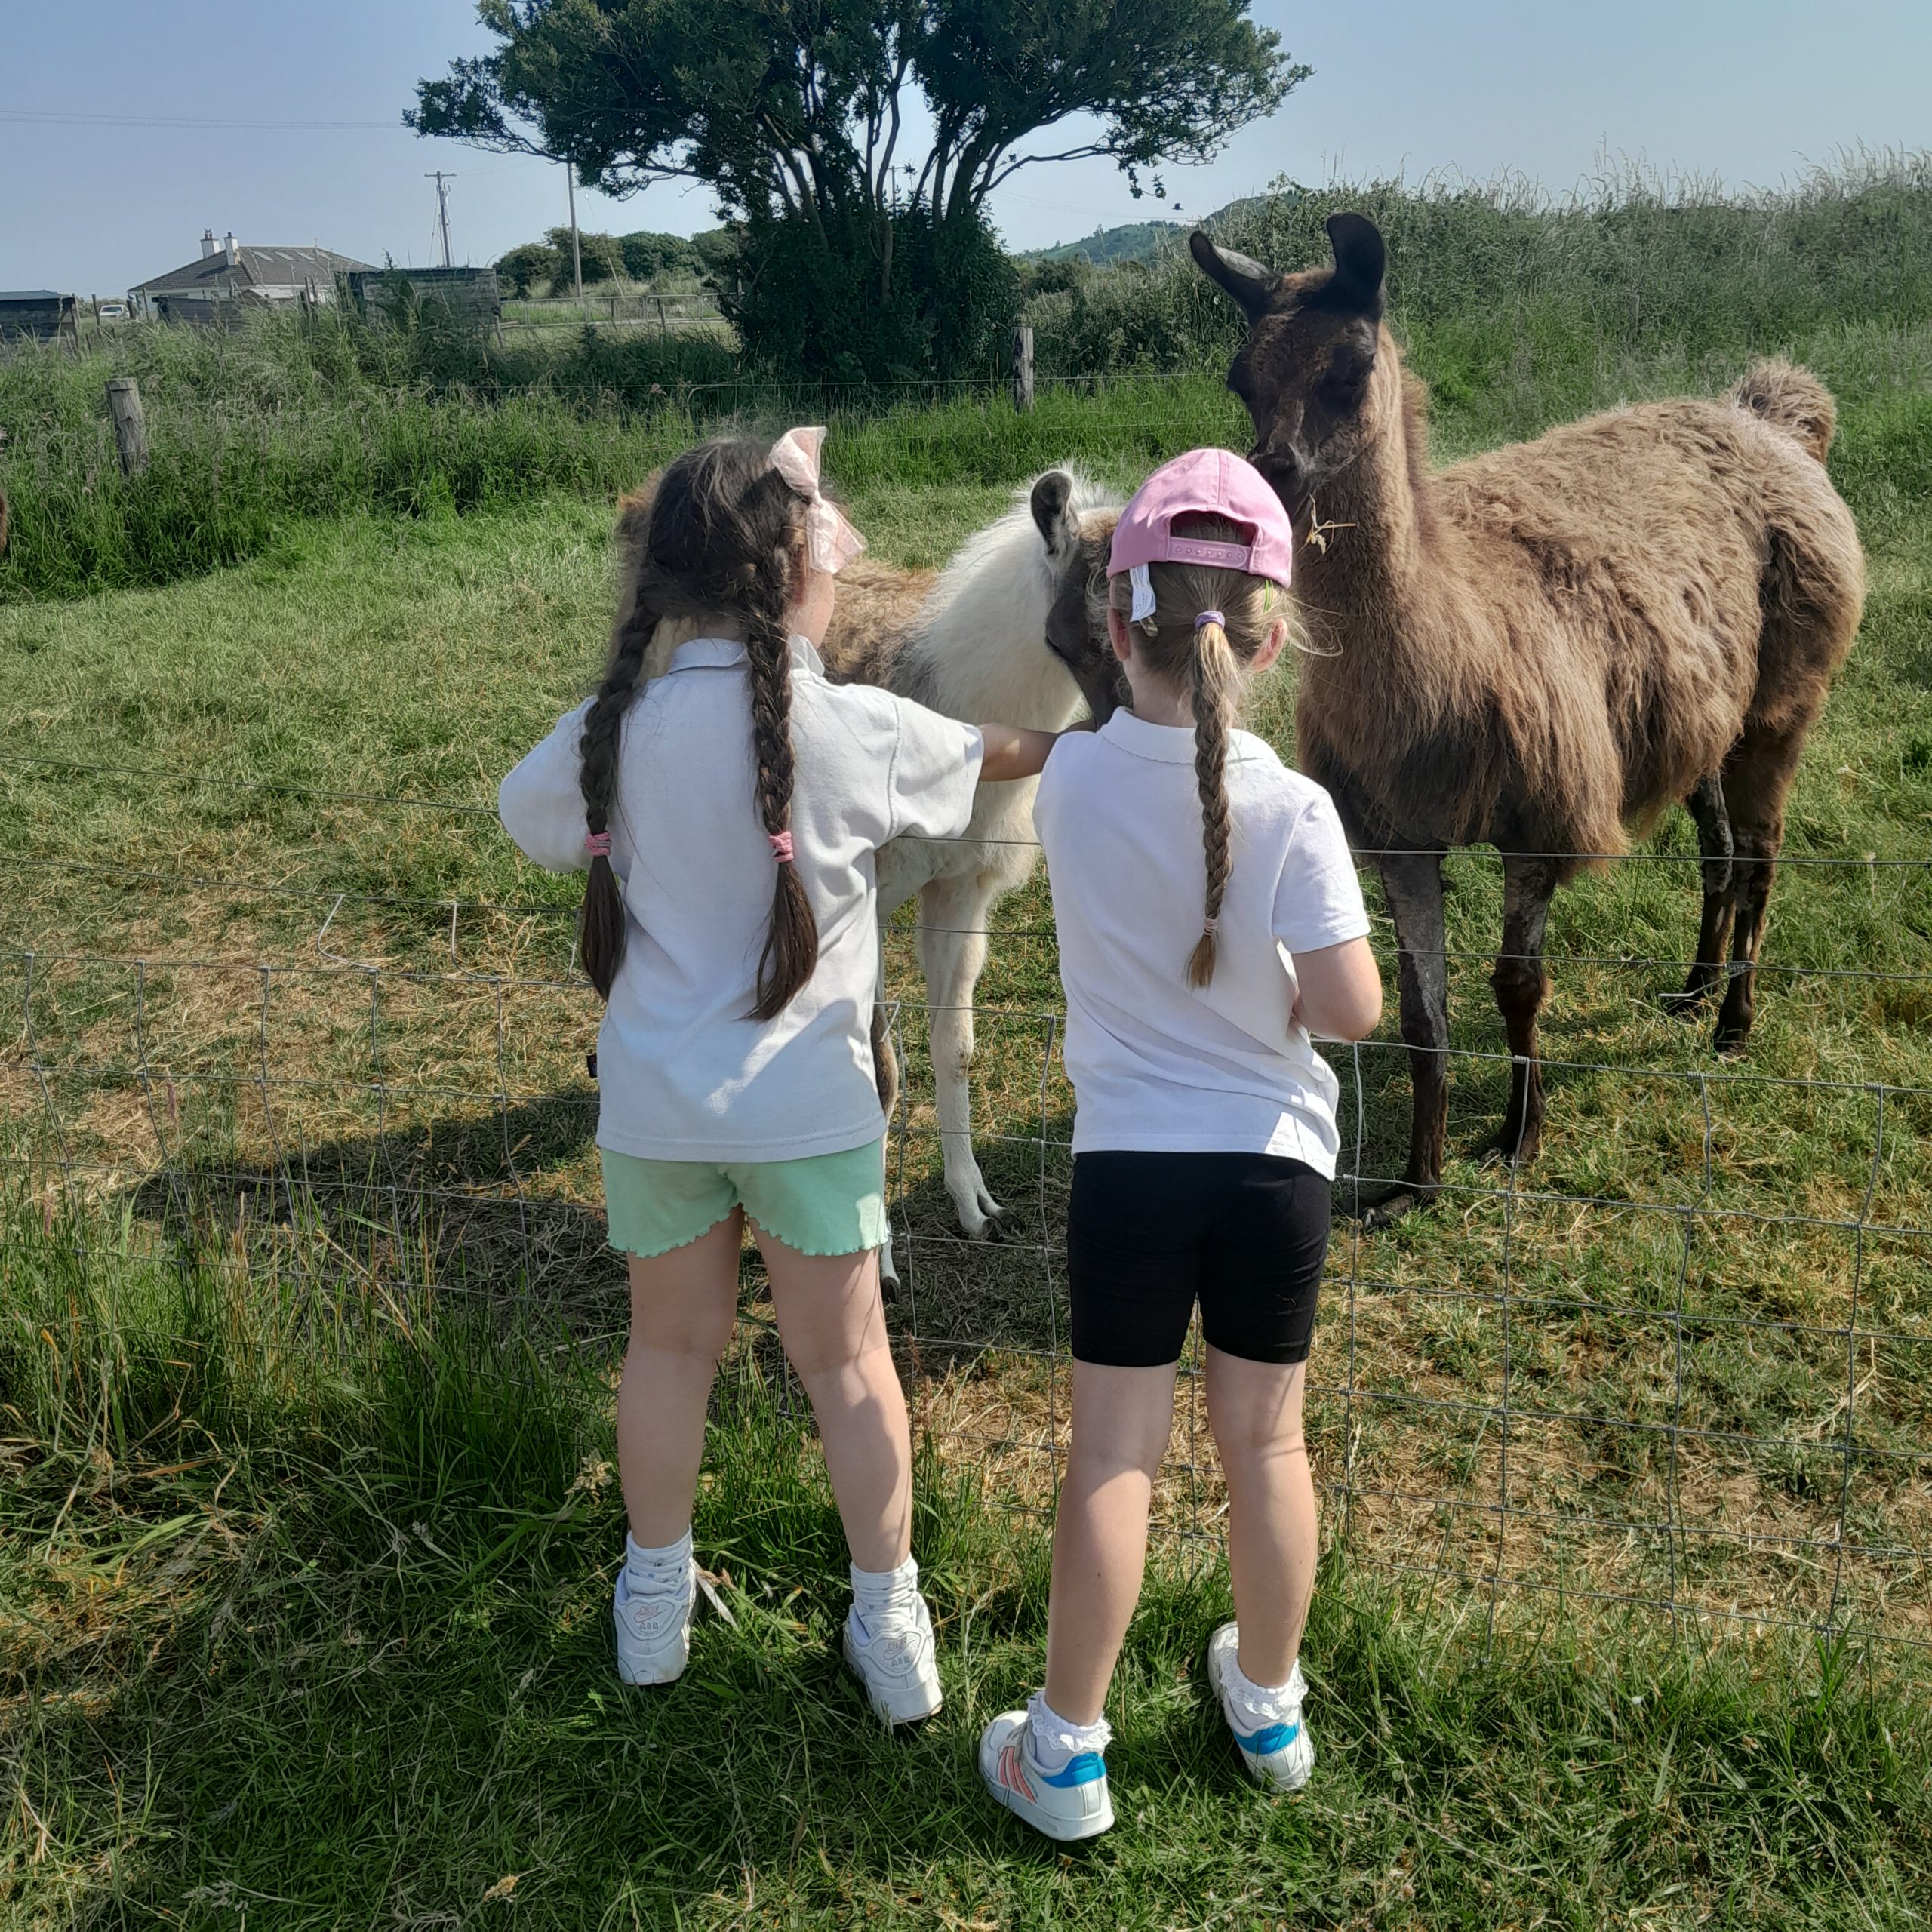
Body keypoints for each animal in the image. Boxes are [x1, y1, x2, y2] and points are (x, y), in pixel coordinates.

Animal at [613, 467, 1121, 1273]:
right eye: (1087, 626)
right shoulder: (865, 889)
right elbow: (877, 1070)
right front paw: (875, 1257)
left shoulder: (960, 885)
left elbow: (956, 1049)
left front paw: (974, 1205)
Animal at [1169, 213, 1866, 1223]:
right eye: (1240, 377)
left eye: (1350, 366)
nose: (1273, 472)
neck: (1445, 652)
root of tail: (1764, 416)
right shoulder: (1398, 832)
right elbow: (1420, 1013)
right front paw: (1411, 1182)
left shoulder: (1538, 811)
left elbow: (1516, 986)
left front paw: (1517, 1136)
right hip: (1701, 712)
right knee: (1721, 849)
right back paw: (1693, 990)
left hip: (1784, 694)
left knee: (1763, 857)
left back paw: (1735, 1023)